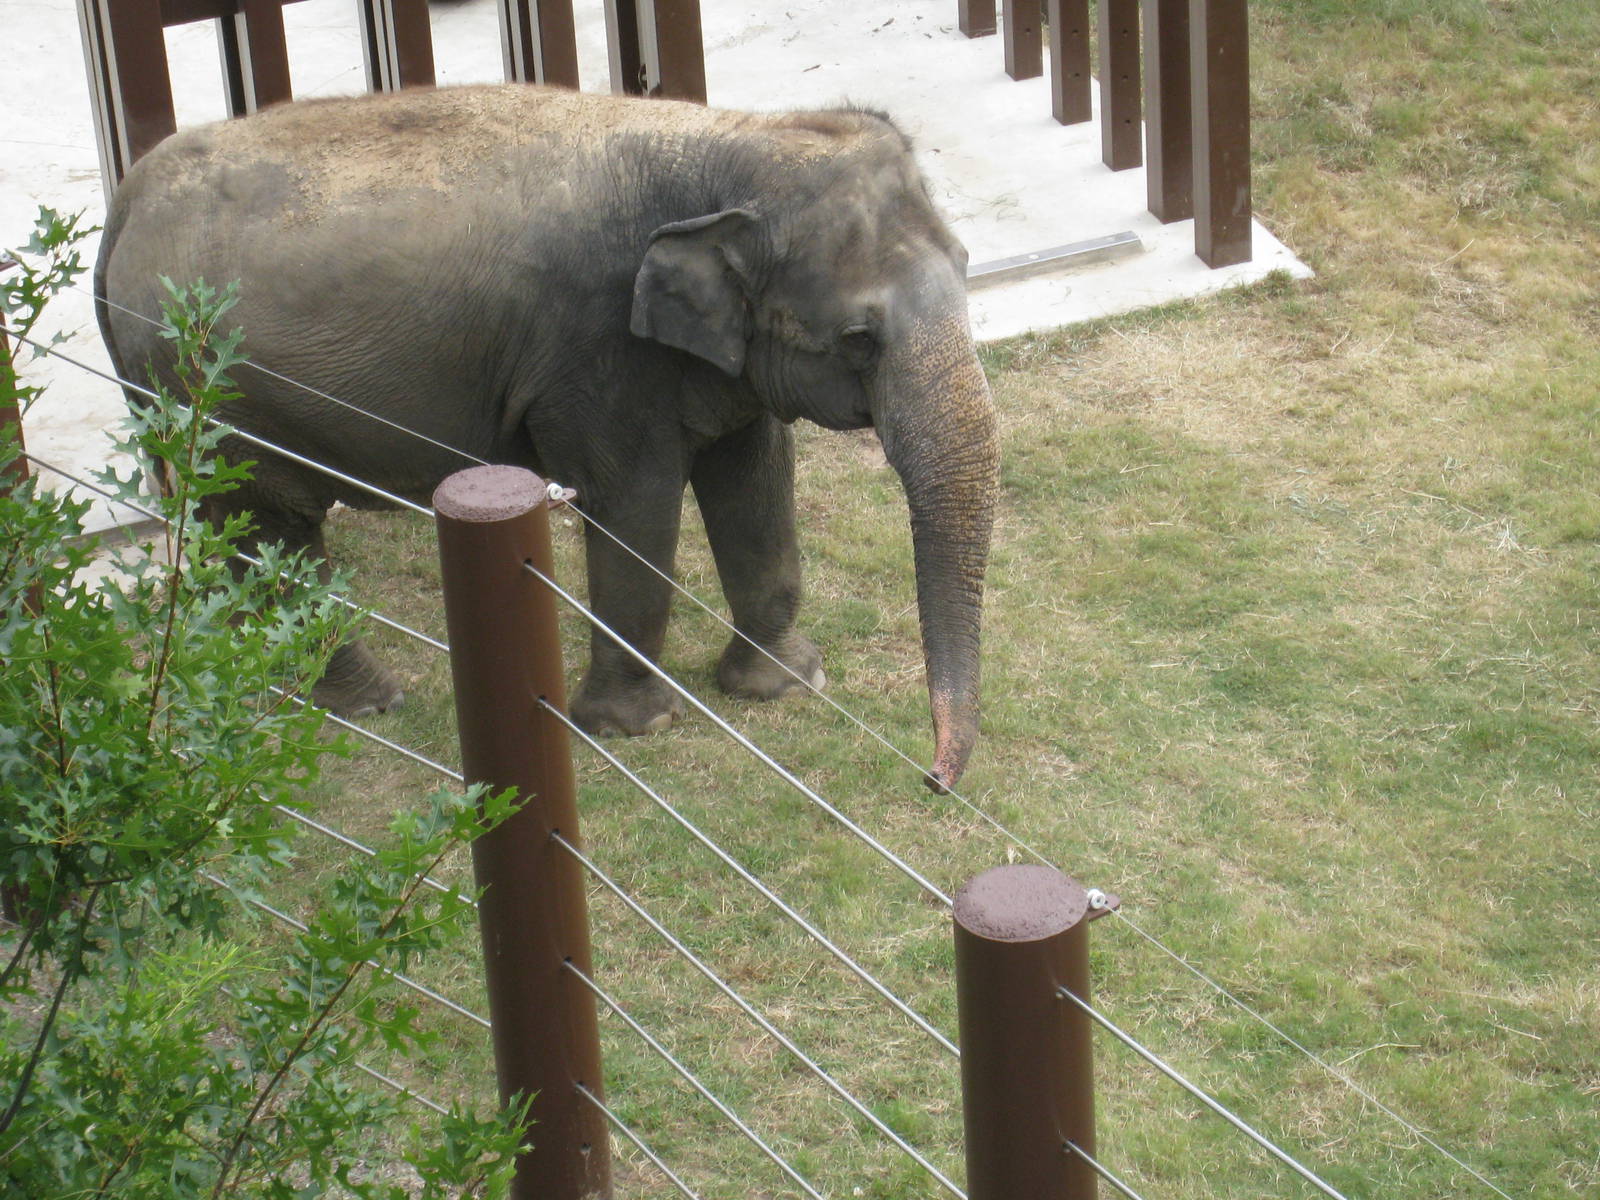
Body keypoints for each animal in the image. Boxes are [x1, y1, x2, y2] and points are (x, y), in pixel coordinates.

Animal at [95, 83, 999, 791]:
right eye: (859, 339)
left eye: (967, 264)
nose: (933, 779)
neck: (731, 138)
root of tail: (125, 202)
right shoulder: (596, 350)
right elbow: (635, 505)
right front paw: (634, 728)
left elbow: (755, 482)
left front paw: (785, 683)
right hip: (215, 392)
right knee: (273, 529)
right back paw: (370, 700)